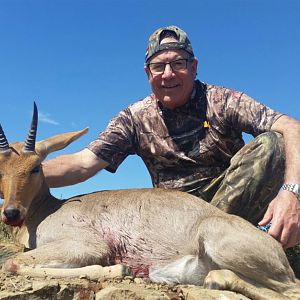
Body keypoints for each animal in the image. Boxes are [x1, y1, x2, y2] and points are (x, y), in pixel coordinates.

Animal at [0, 103, 300, 300]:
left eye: (36, 167)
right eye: (1, 168)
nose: (11, 213)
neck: (46, 210)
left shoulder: (86, 244)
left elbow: (12, 264)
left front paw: (119, 268)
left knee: (291, 290)